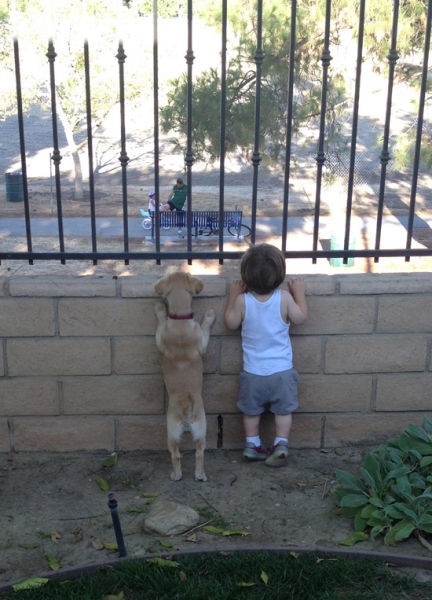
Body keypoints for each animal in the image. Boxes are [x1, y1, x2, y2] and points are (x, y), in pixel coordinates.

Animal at [154, 272, 216, 482]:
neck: (180, 319)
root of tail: (187, 407)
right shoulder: (202, 341)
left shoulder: (160, 337)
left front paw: (160, 311)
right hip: (199, 430)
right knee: (196, 453)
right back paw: (197, 475)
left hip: (175, 432)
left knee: (177, 454)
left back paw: (180, 474)